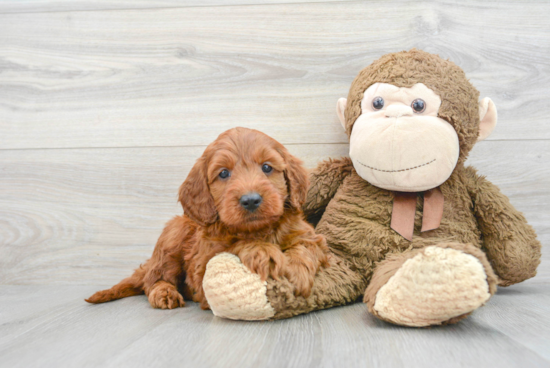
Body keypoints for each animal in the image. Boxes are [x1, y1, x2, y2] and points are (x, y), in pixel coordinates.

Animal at [85, 128, 328, 310]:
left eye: (267, 167)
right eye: (223, 173)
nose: (250, 200)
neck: (258, 230)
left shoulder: (308, 234)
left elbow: (306, 246)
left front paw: (297, 272)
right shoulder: (202, 268)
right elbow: (235, 245)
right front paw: (262, 252)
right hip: (173, 236)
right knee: (152, 280)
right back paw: (164, 293)